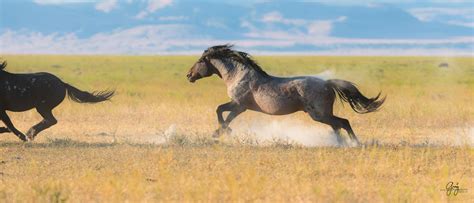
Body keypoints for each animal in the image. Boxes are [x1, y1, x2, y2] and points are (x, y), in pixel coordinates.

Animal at [186, 45, 386, 145]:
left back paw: (353, 143)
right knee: (337, 125)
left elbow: (221, 112)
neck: (238, 75)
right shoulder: (238, 105)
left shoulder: (239, 105)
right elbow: (221, 112)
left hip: (319, 114)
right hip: (323, 114)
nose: (189, 75)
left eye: (200, 61)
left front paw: (220, 132)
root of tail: (327, 83)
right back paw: (340, 143)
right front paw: (220, 132)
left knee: (343, 122)